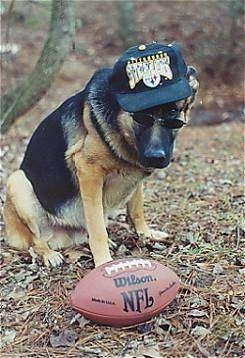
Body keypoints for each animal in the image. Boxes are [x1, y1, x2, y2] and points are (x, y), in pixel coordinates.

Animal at [3, 42, 199, 266]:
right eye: (141, 118)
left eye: (173, 114)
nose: (155, 157)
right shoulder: (89, 173)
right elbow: (98, 229)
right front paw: (104, 261)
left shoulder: (136, 175)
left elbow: (136, 208)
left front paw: (145, 233)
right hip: (18, 182)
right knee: (36, 241)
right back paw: (48, 253)